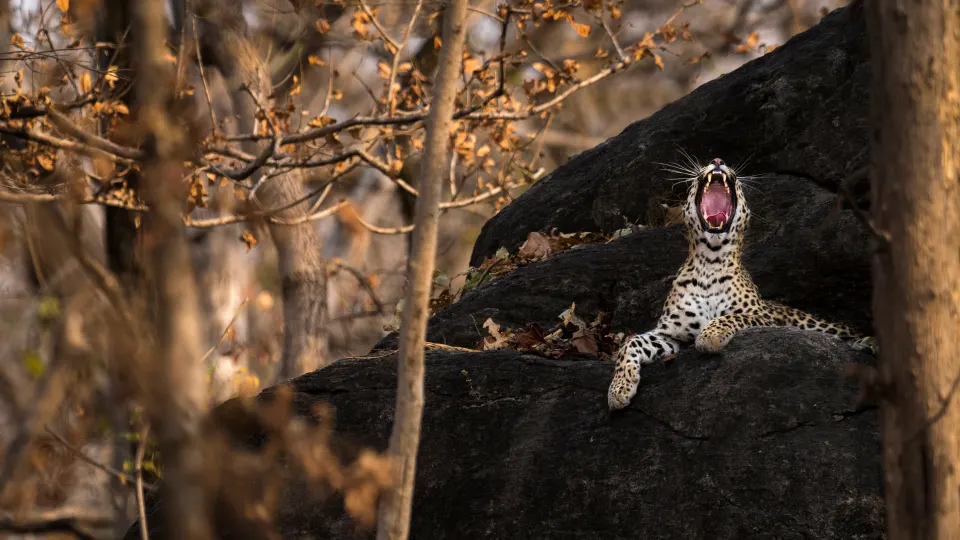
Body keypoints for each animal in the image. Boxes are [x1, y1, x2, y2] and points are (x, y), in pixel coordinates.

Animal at [607, 157, 877, 411]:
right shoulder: (671, 334)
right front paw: (618, 390)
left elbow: (733, 316)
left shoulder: (764, 316)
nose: (717, 160)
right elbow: (630, 343)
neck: (710, 261)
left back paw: (866, 343)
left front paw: (710, 336)